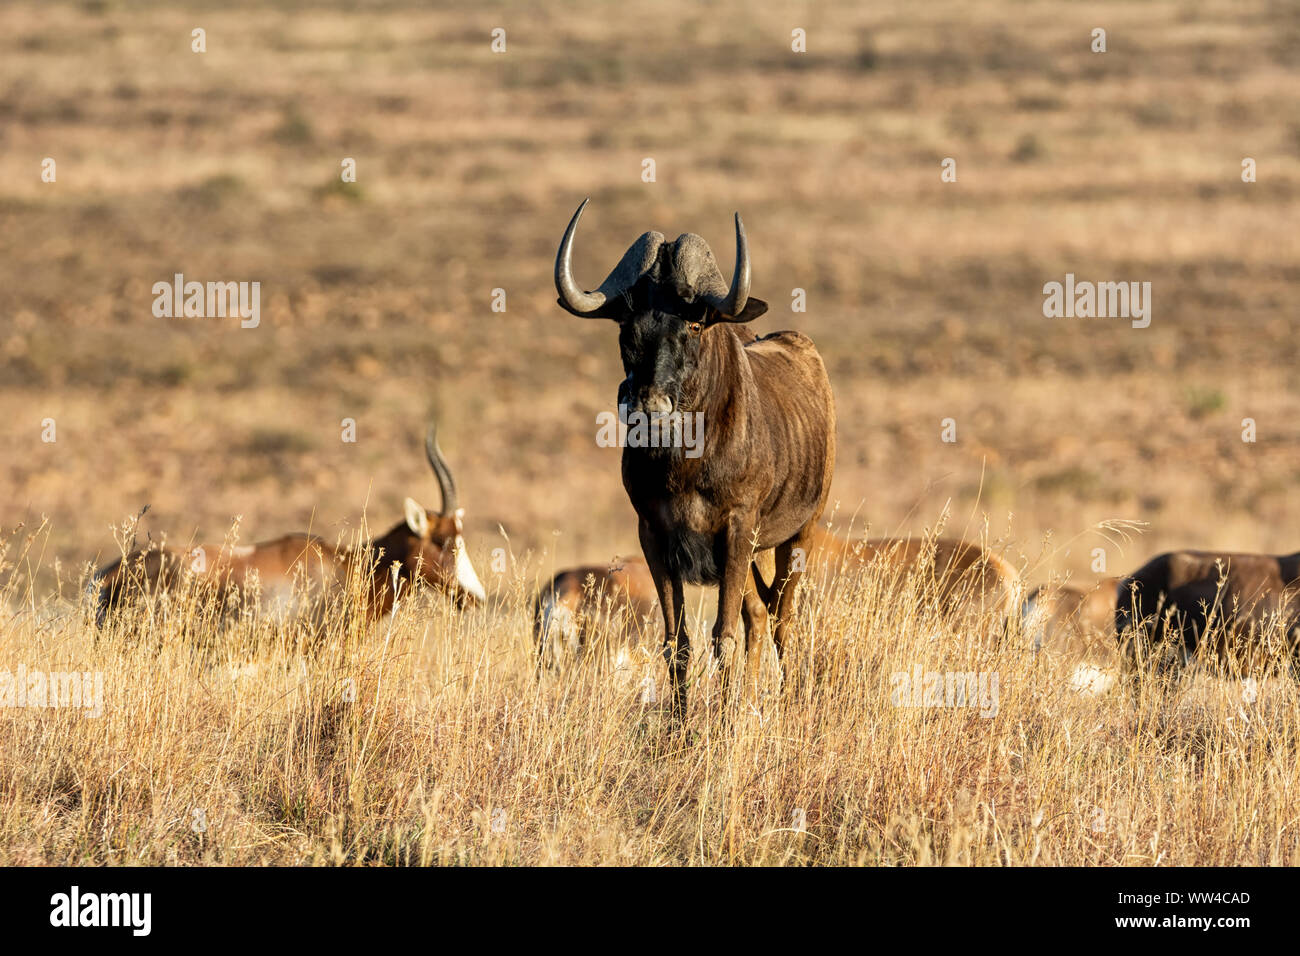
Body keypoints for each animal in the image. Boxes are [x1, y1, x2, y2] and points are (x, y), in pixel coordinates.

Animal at [554, 199, 836, 716]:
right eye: (627, 325)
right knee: (759, 615)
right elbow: (677, 640)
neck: (684, 462)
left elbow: (722, 635)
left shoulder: (737, 529)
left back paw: (788, 698)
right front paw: (682, 722)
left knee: (782, 618)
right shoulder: (654, 534)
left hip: (798, 535)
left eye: (693, 322)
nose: (648, 404)